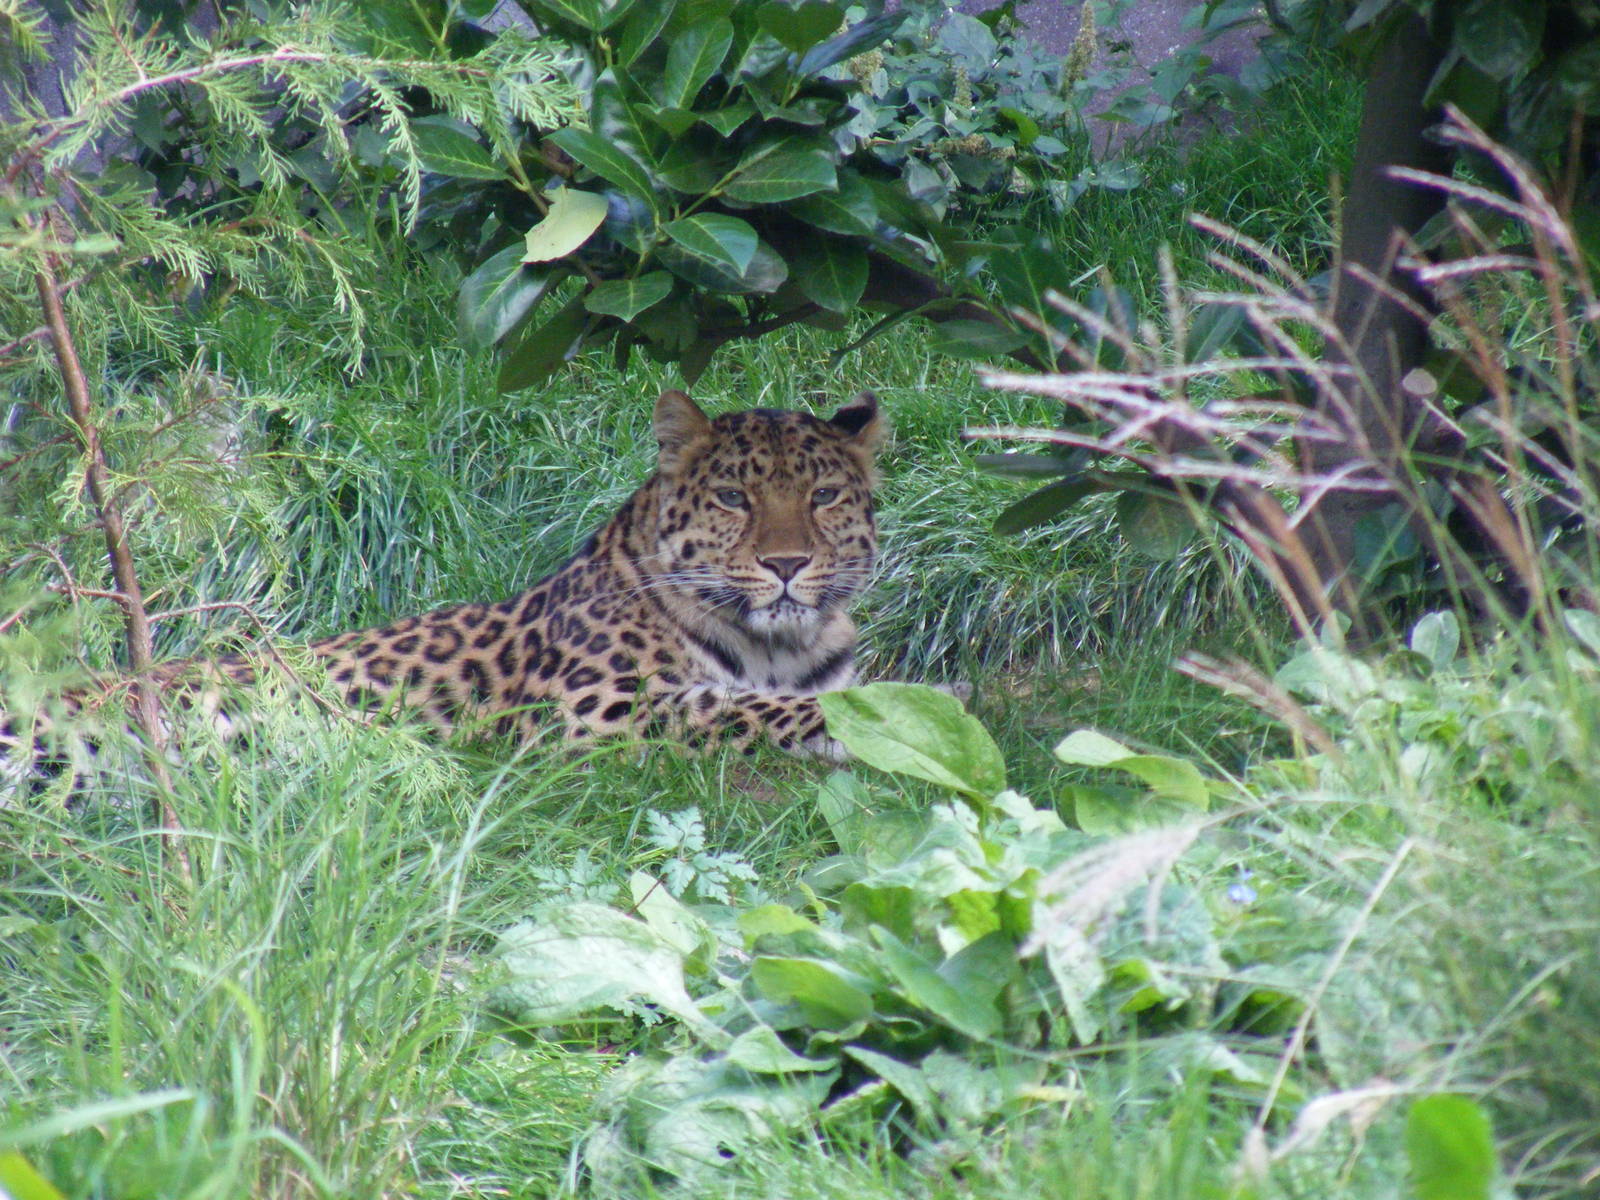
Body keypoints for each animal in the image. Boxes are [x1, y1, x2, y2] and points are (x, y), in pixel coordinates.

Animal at [4, 388, 889, 771]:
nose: (786, 565)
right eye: (735, 498)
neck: (777, 646)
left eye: (824, 496)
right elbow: (741, 706)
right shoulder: (588, 709)